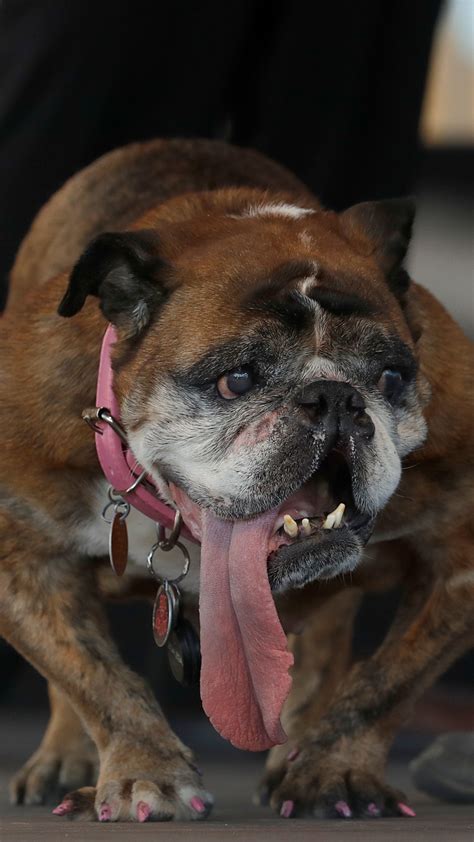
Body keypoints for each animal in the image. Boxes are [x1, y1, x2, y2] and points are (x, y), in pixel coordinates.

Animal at [0, 139, 472, 820]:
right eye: (236, 380)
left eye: (390, 376)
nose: (335, 398)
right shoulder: (21, 564)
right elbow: (96, 680)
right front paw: (149, 774)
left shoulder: (457, 562)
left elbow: (387, 683)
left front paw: (334, 770)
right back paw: (64, 758)